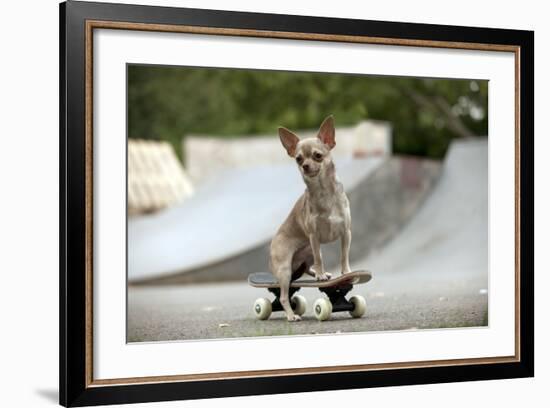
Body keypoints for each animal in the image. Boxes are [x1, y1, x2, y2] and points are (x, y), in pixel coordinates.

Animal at [272, 115, 354, 322]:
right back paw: (291, 315)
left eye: (318, 155)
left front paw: (346, 272)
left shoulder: (346, 233)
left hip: (306, 251)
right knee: (284, 296)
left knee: (309, 266)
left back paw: (321, 272)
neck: (324, 192)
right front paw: (321, 276)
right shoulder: (314, 236)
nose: (305, 166)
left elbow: (344, 254)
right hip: (285, 269)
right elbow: (319, 258)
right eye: (298, 159)